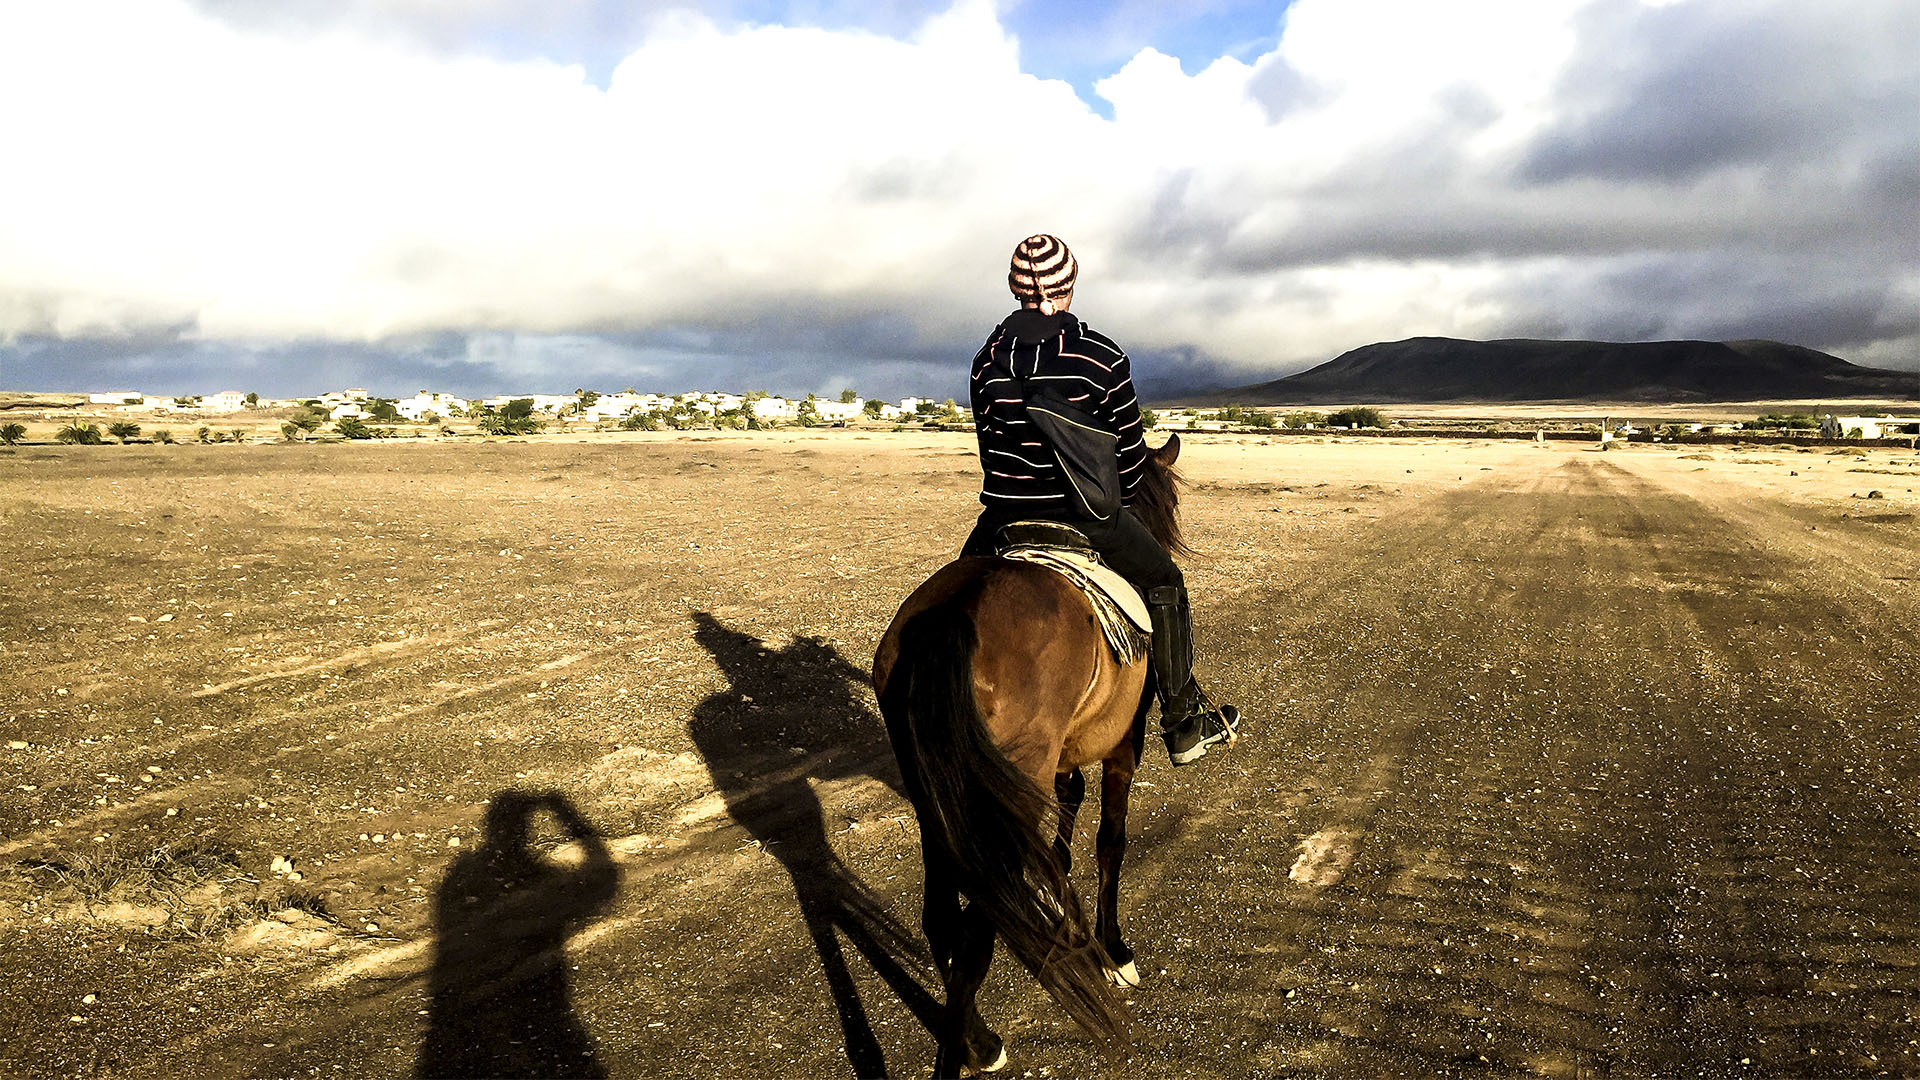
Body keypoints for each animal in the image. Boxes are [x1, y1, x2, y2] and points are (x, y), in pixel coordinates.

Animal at [879, 432, 1190, 1068]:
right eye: (1167, 505)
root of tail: (950, 615)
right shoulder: (1124, 742)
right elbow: (1111, 841)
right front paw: (1115, 952)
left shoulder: (1063, 752)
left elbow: (1067, 816)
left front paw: (1062, 900)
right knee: (977, 934)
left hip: (937, 795)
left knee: (941, 918)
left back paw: (978, 1041)